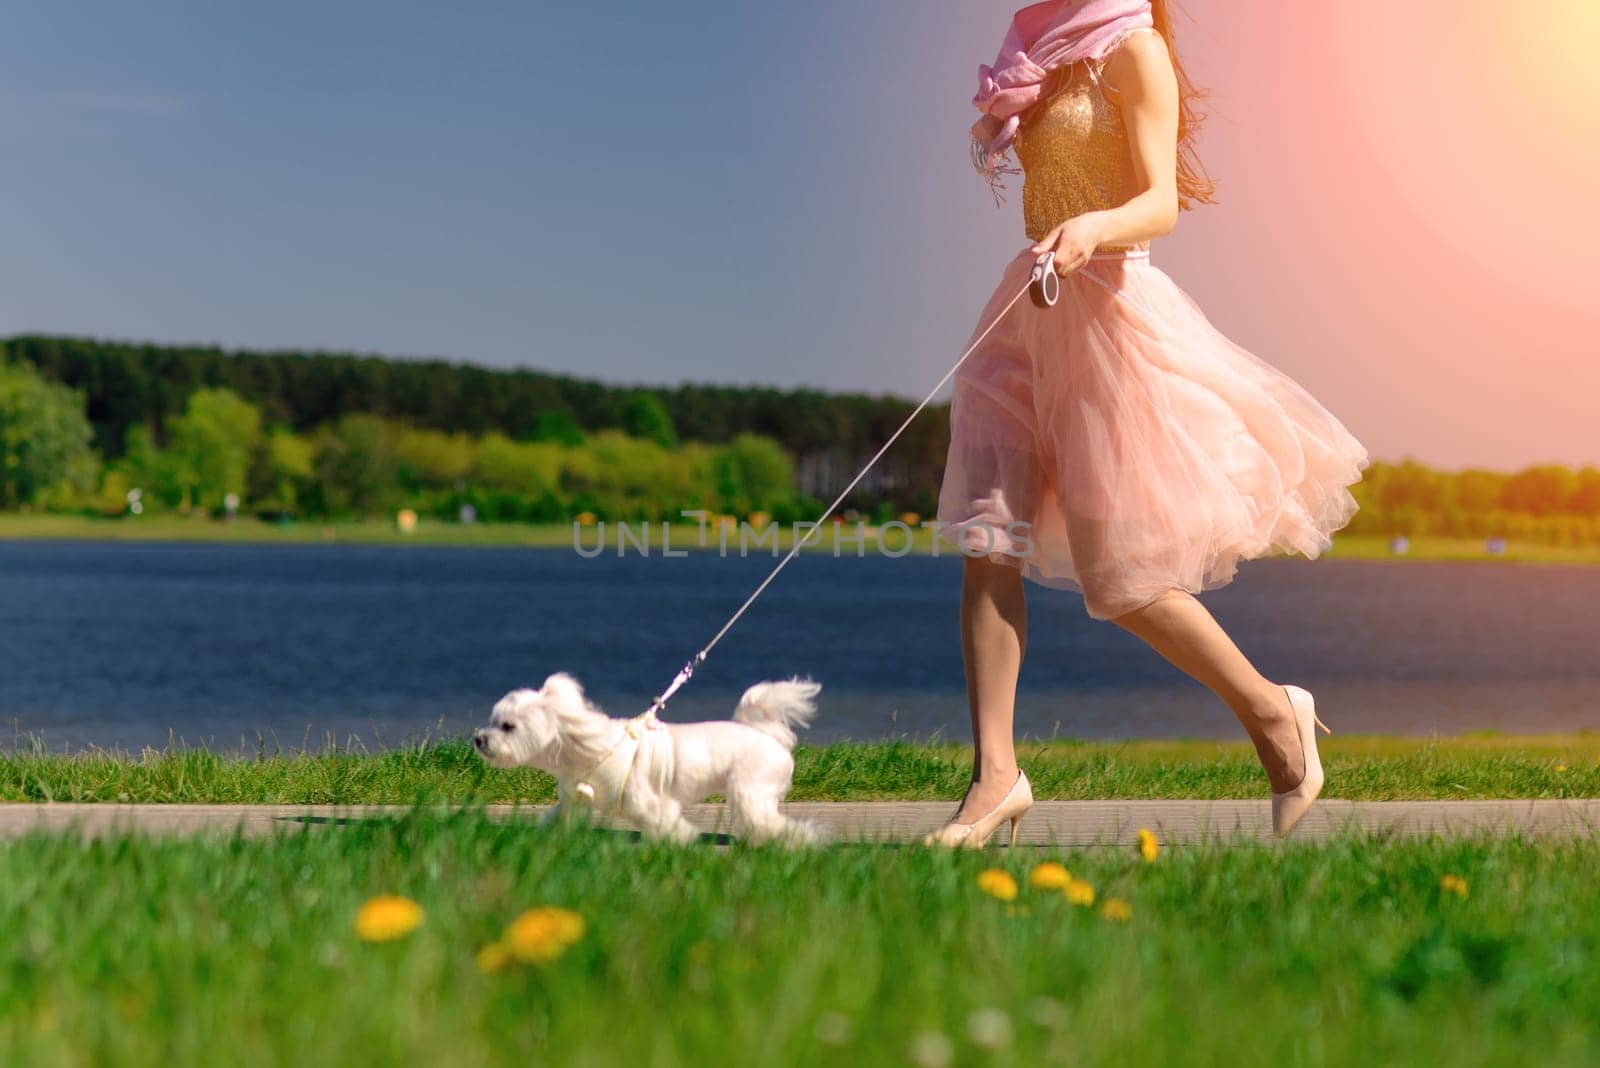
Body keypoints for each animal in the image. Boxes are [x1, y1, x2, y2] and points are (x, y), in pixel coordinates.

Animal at [470, 674, 825, 844]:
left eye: (507, 726)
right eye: (492, 720)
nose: (478, 738)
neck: (589, 746)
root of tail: (768, 735)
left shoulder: (647, 802)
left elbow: (665, 822)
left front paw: (682, 842)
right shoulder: (574, 798)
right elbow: (559, 817)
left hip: (750, 790)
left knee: (768, 821)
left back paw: (801, 841)